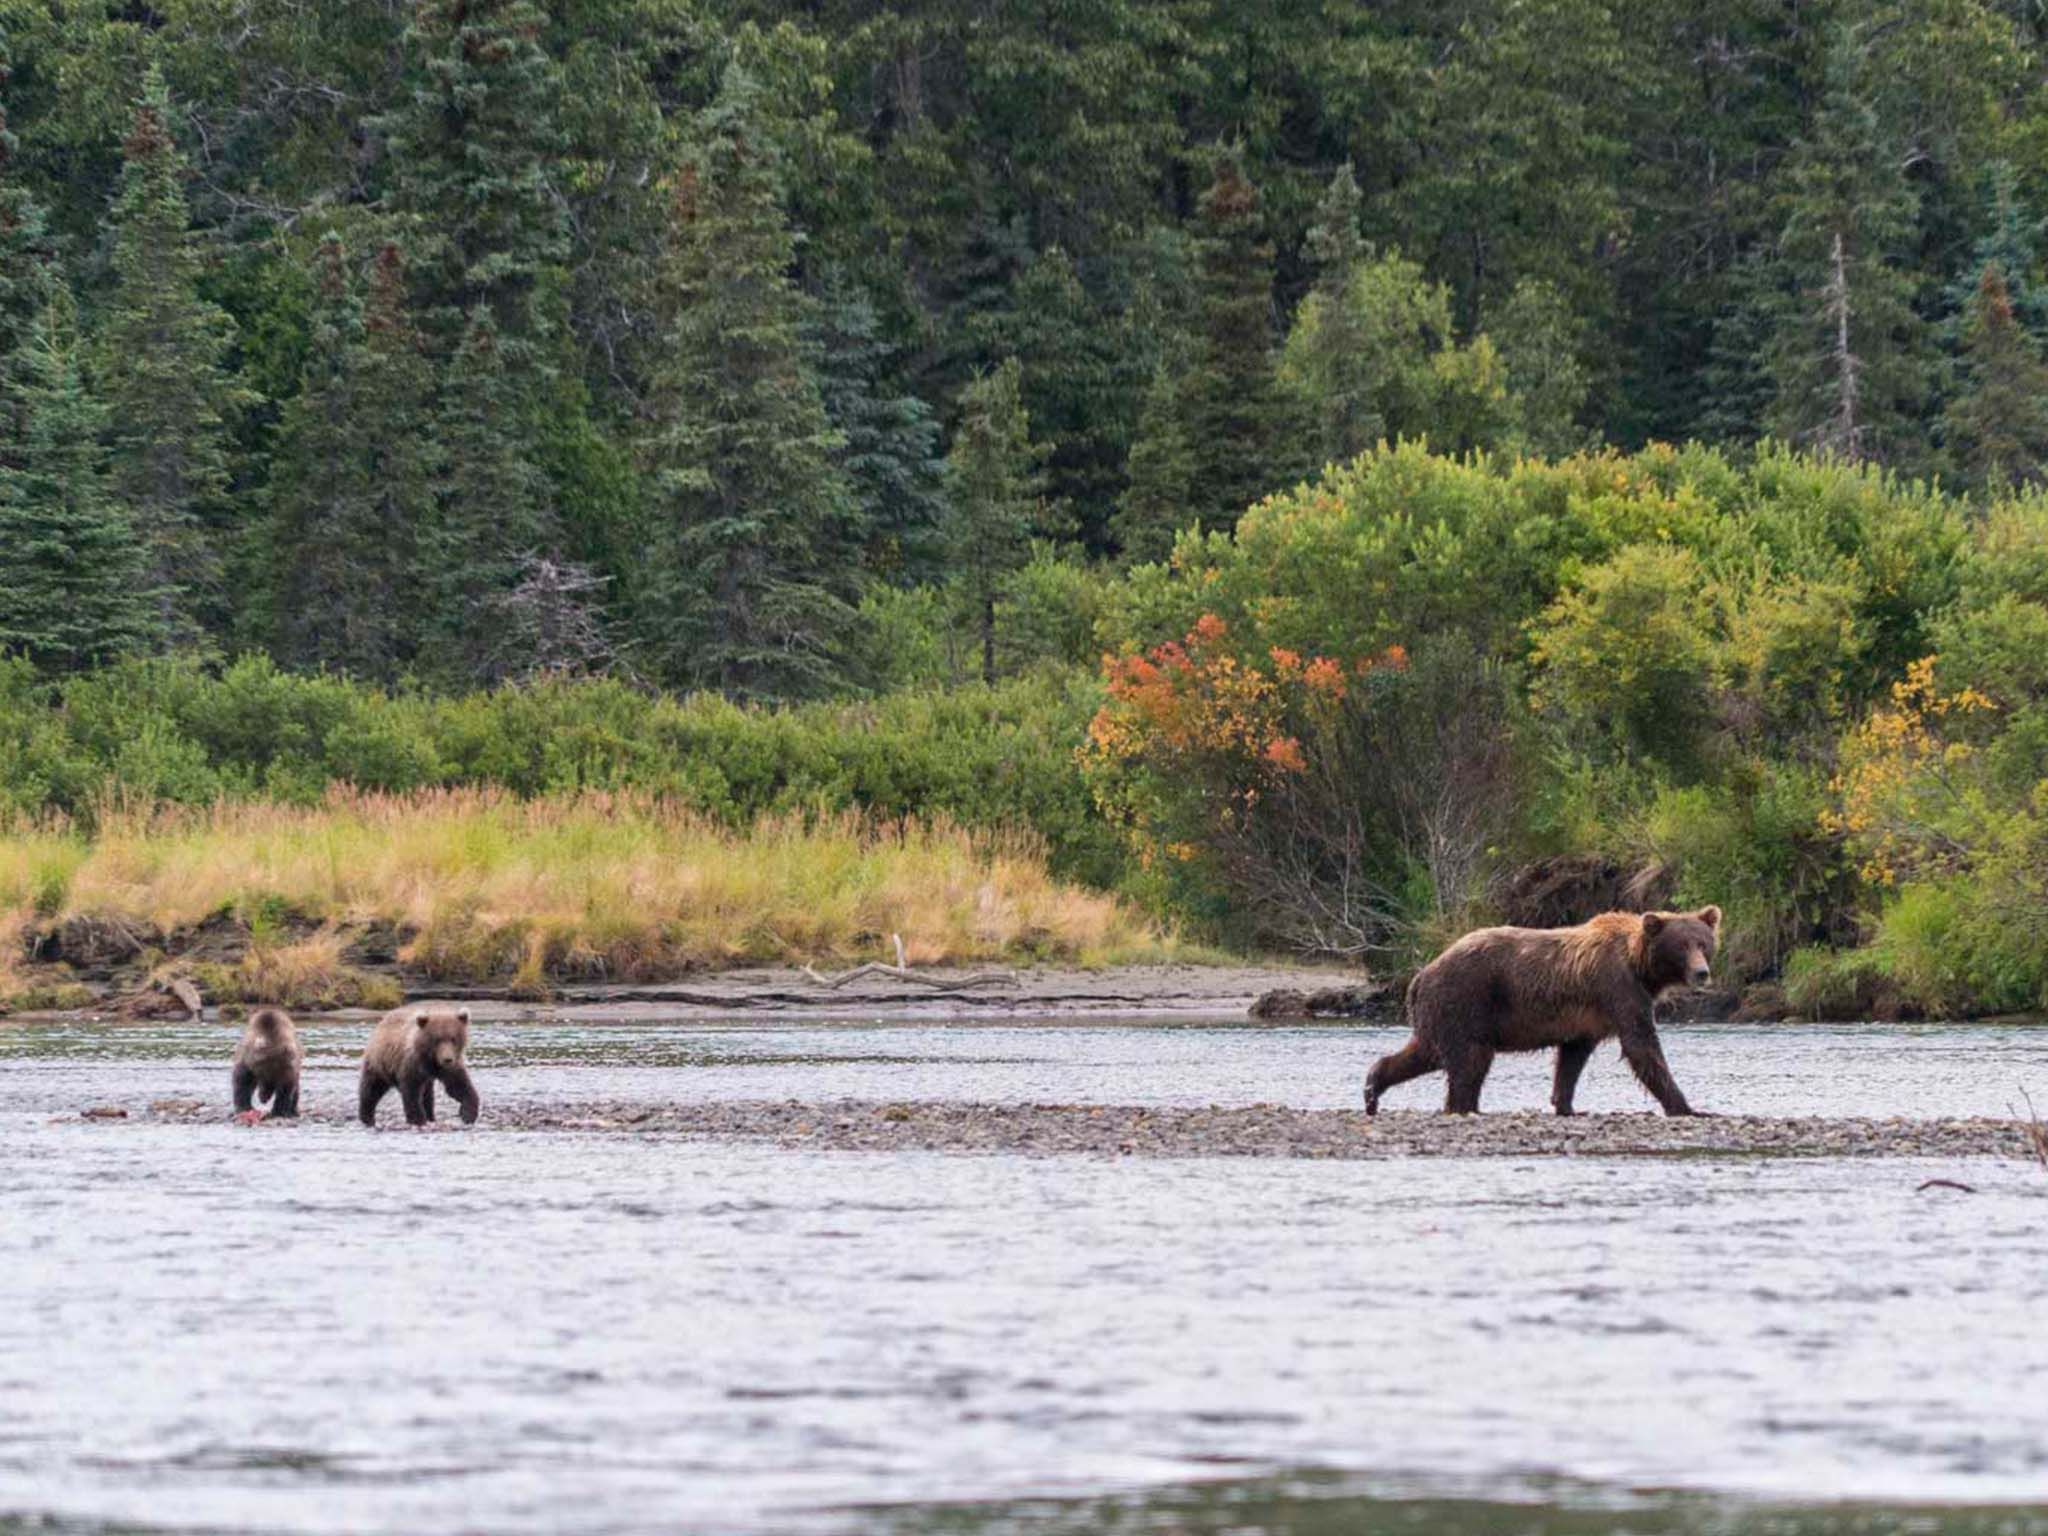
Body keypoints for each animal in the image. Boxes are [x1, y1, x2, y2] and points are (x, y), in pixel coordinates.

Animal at [1368, 913, 1720, 1122]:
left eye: (1703, 943)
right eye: (1681, 945)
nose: (1702, 973)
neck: (1640, 966)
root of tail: (1421, 974)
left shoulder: (1586, 1018)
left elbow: (1572, 1058)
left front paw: (1566, 1105)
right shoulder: (1618, 988)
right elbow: (1642, 1046)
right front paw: (1689, 1107)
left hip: (1445, 1011)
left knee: (1428, 1052)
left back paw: (1373, 1086)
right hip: (1466, 1000)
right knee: (1468, 1061)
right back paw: (1463, 1105)